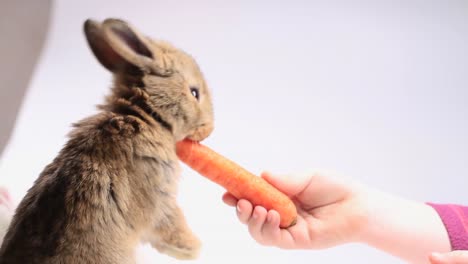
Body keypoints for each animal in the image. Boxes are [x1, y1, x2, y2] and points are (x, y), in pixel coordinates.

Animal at [0, 17, 215, 262]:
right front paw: (194, 249)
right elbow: (171, 225)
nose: (209, 130)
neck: (145, 116)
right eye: (194, 92)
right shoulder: (161, 197)